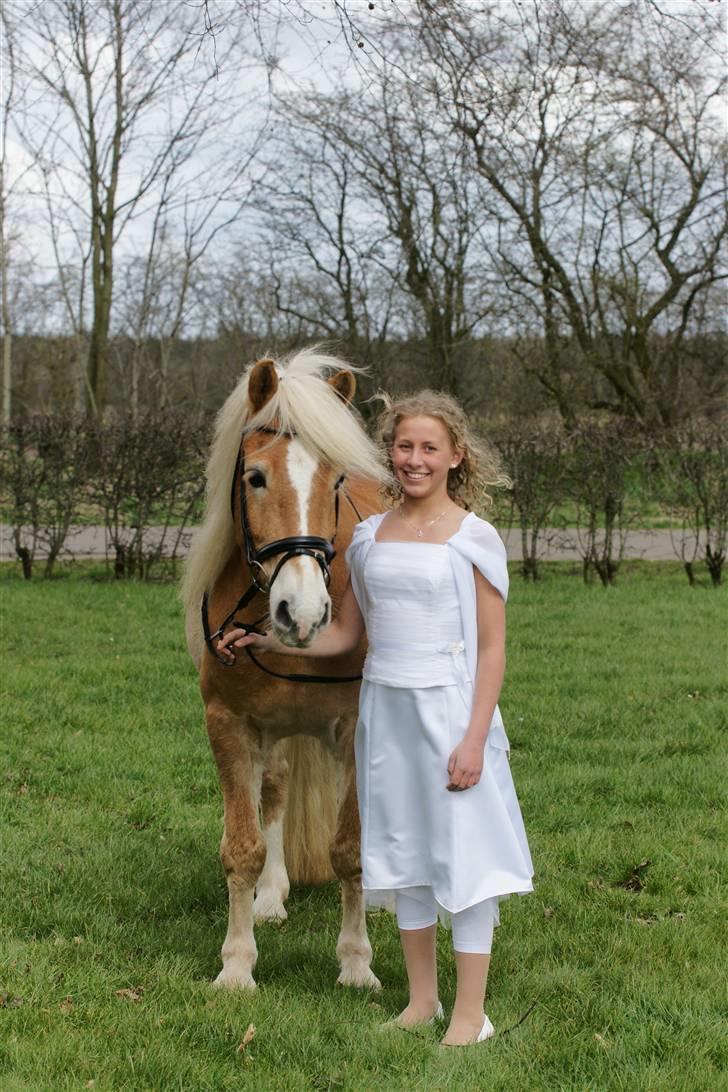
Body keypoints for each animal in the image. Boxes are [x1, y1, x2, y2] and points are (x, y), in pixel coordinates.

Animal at [182, 347, 386, 991]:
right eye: (255, 477)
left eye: (336, 481)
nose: (303, 611)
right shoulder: (230, 724)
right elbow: (242, 846)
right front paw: (236, 964)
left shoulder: (356, 728)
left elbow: (349, 848)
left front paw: (356, 963)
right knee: (274, 792)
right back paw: (272, 896)